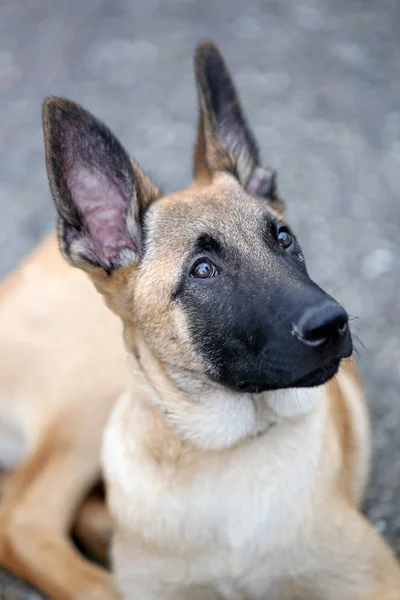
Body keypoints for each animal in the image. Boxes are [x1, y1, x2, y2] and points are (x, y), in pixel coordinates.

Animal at [0, 42, 400, 600]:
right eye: (203, 270)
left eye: (284, 239)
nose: (332, 323)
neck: (223, 453)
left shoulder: (373, 575)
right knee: (24, 516)